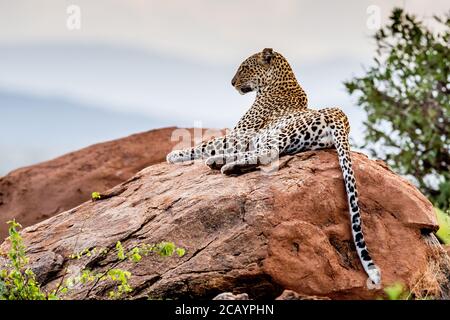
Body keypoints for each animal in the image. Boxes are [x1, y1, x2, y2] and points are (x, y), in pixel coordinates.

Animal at [167, 48, 382, 284]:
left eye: (244, 68)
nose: (232, 83)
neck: (277, 83)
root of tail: (340, 118)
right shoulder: (244, 137)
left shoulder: (239, 134)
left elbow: (206, 144)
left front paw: (175, 154)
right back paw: (223, 164)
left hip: (277, 133)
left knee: (266, 154)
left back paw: (224, 165)